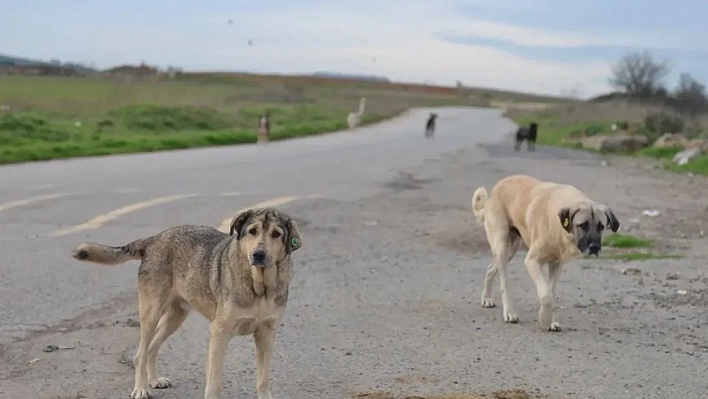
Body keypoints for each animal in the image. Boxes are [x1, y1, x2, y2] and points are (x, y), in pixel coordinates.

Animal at [70, 208, 302, 399]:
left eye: (276, 234)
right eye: (252, 231)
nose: (258, 255)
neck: (259, 286)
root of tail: (153, 239)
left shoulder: (266, 334)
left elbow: (263, 380)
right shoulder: (219, 332)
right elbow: (214, 381)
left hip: (175, 316)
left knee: (152, 348)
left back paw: (154, 380)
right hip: (151, 313)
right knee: (139, 355)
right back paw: (141, 388)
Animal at [470, 175, 620, 332]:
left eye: (601, 226)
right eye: (583, 225)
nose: (595, 247)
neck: (560, 227)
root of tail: (496, 188)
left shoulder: (556, 265)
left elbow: (551, 294)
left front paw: (550, 321)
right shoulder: (532, 261)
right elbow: (546, 295)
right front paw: (544, 320)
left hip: (512, 248)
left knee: (490, 268)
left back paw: (486, 299)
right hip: (502, 245)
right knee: (504, 283)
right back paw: (509, 313)